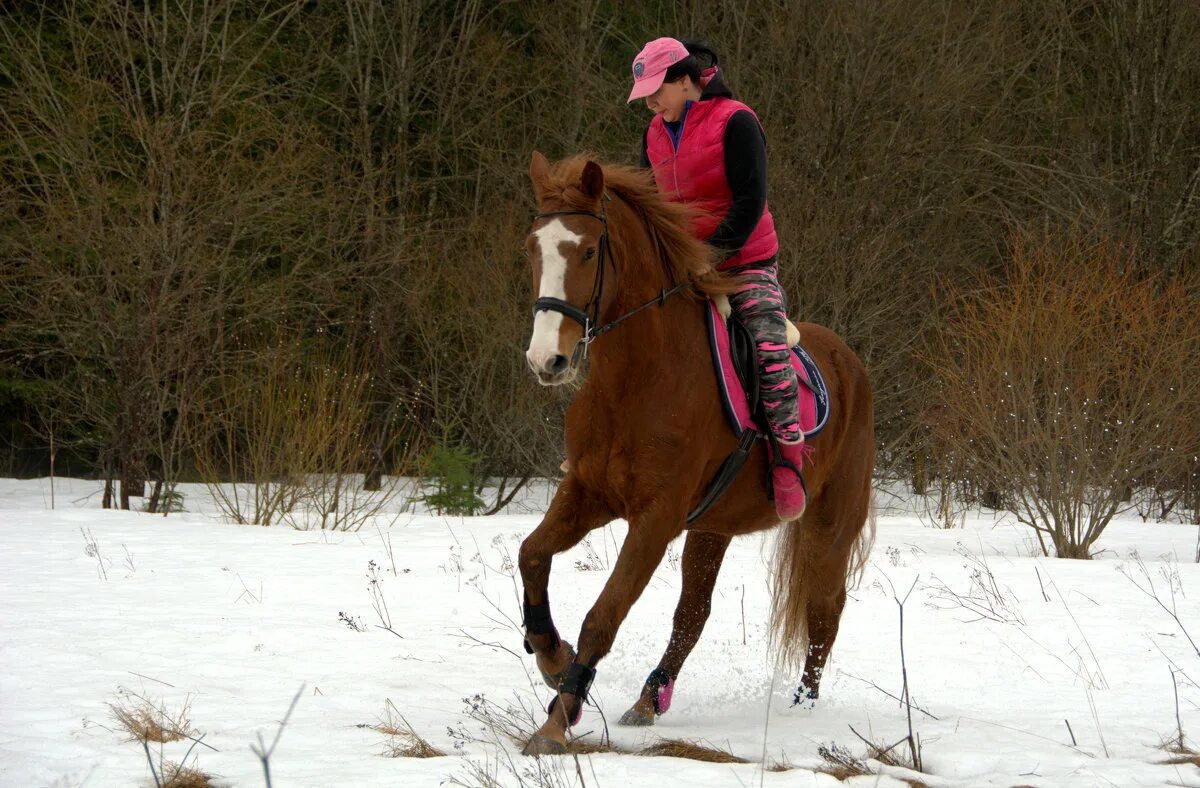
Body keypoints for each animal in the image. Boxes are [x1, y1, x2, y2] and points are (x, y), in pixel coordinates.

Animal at [516, 149, 873, 758]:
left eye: (588, 250)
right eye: (534, 249)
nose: (548, 361)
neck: (636, 378)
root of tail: (850, 362)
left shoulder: (655, 519)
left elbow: (604, 615)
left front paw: (556, 721)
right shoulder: (586, 493)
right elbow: (531, 556)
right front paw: (553, 658)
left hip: (830, 524)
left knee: (825, 609)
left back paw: (802, 707)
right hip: (713, 526)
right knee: (693, 614)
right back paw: (648, 698)